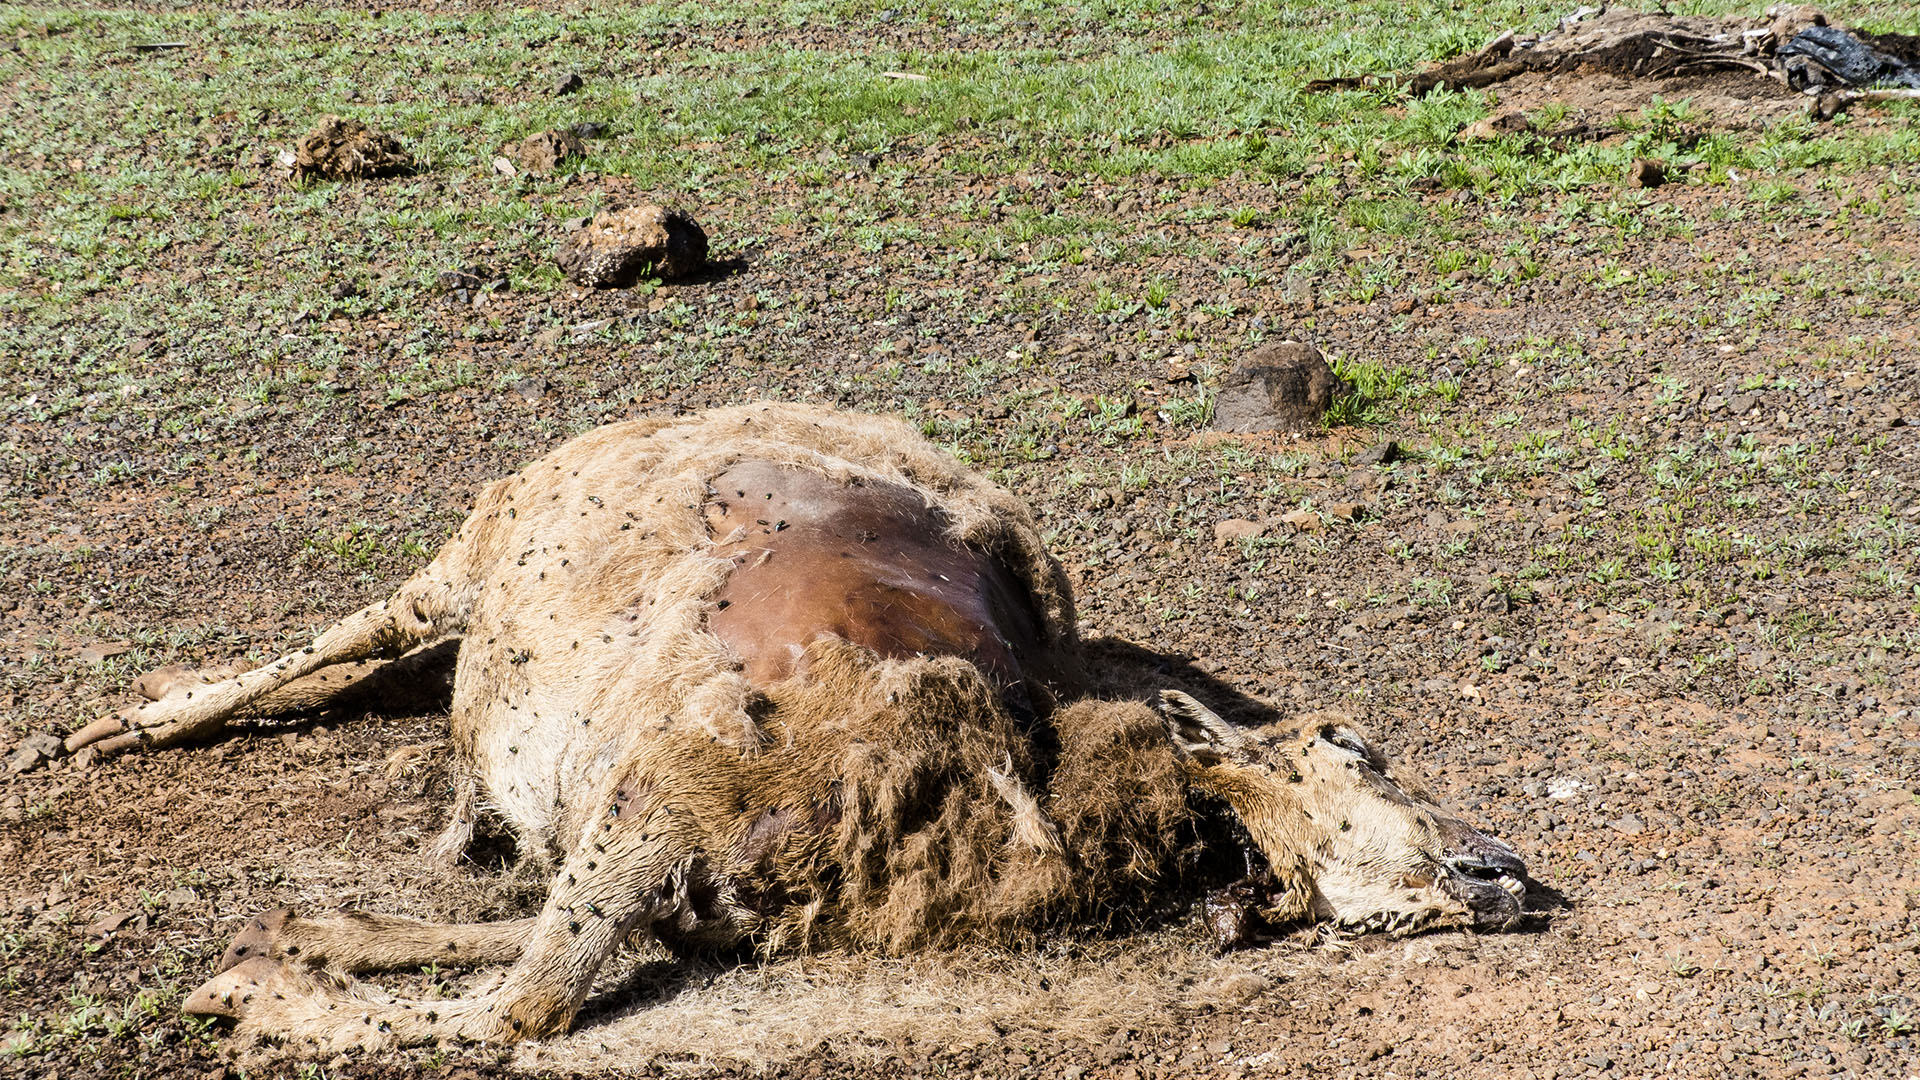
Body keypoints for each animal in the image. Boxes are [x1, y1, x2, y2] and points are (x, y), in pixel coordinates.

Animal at [67, 401, 1520, 1045]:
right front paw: (254, 988)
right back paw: (109, 733)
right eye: (1354, 746)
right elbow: (521, 1003)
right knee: (350, 636)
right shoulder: (666, 785)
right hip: (479, 541)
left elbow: (496, 958)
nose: (1501, 866)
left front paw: (293, 940)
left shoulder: (676, 865)